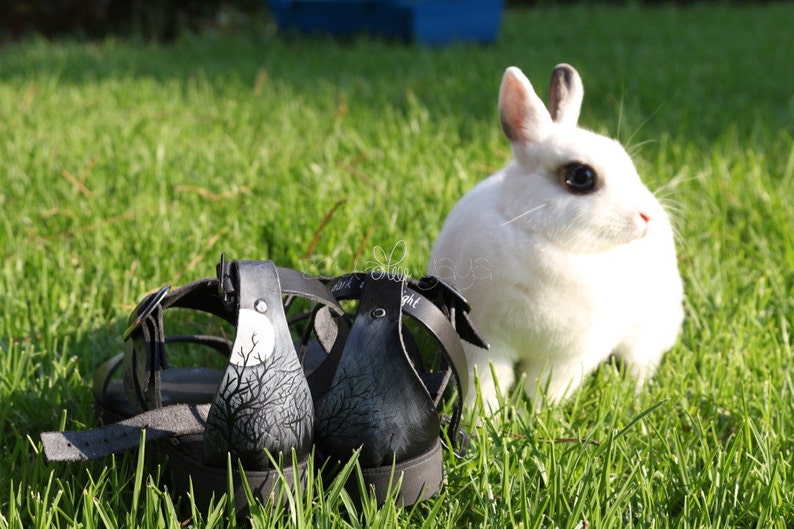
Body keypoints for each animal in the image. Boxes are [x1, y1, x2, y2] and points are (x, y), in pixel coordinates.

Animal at [428, 64, 684, 413]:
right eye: (582, 176)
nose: (646, 217)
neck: (552, 245)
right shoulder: (484, 346)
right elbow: (488, 385)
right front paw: (485, 418)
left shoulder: (568, 358)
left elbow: (545, 389)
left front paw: (533, 414)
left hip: (648, 329)